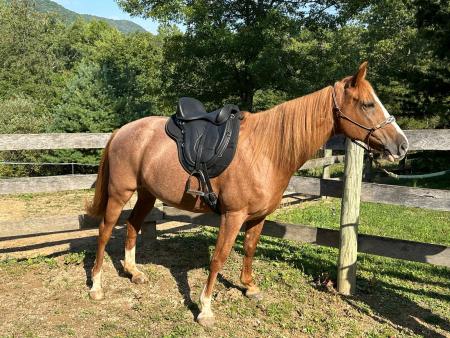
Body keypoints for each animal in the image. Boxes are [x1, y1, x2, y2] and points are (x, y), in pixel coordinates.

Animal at [87, 62, 408, 326]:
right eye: (368, 104)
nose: (402, 145)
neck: (266, 150)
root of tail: (122, 131)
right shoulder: (233, 215)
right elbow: (219, 257)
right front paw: (205, 309)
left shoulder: (258, 216)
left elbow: (250, 248)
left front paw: (249, 286)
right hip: (120, 192)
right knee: (104, 231)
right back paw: (97, 286)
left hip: (146, 193)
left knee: (132, 225)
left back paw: (133, 272)